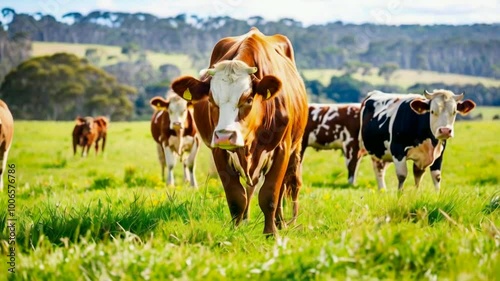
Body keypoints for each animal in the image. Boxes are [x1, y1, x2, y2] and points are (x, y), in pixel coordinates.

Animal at [171, 26, 308, 234]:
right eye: (211, 100)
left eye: (248, 99)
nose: (225, 136)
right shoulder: (219, 152)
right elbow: (236, 197)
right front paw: (235, 231)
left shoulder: (282, 149)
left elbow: (270, 194)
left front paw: (271, 233)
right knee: (249, 190)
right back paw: (245, 220)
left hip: (295, 149)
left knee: (283, 186)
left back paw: (280, 222)